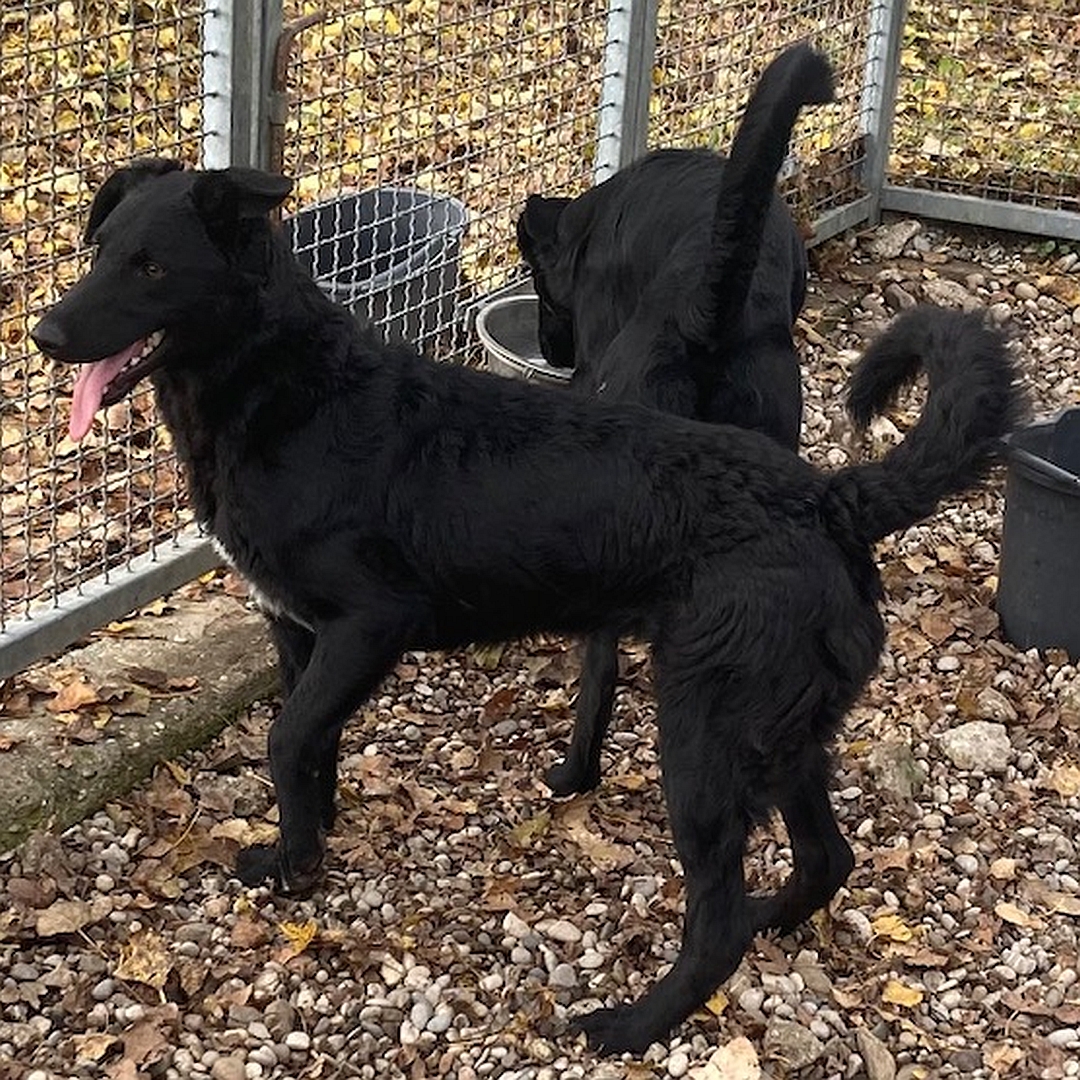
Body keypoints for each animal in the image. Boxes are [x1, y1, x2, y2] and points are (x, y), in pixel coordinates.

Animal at [29, 159, 1015, 1054]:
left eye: (153, 267)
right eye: (101, 250)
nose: (43, 331)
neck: (290, 391)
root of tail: (830, 498)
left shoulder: (370, 623)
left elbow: (283, 739)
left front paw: (294, 861)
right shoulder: (297, 633)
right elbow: (312, 746)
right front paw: (309, 841)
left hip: (705, 740)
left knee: (719, 920)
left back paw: (634, 1024)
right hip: (778, 734)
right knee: (826, 858)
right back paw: (778, 916)